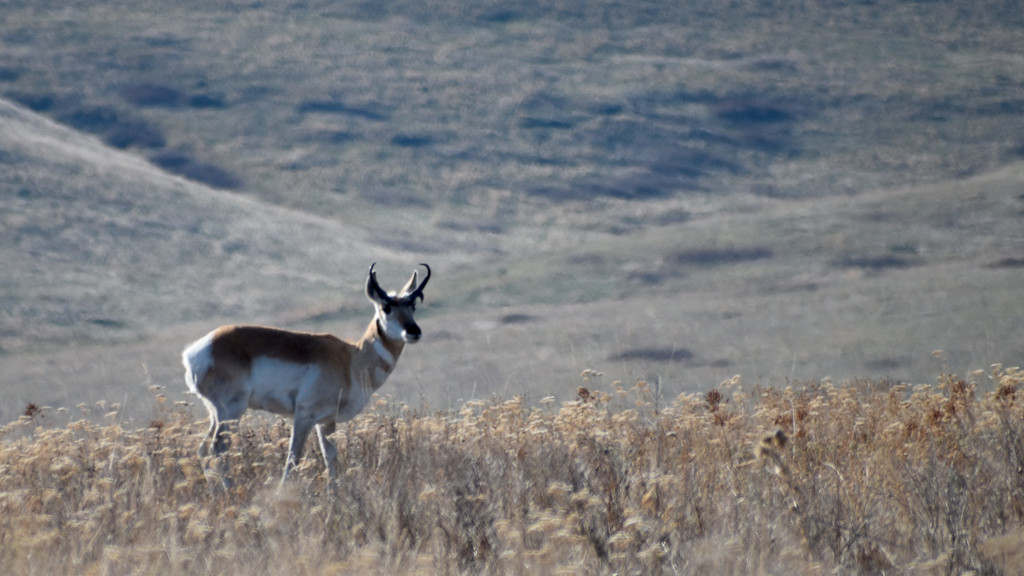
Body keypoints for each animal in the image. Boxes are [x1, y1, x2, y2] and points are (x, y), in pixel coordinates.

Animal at [182, 262, 430, 481]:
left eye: (412, 306)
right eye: (386, 307)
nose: (414, 331)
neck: (352, 359)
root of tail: (198, 350)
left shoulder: (326, 422)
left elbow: (331, 458)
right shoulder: (304, 416)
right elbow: (293, 459)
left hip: (216, 414)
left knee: (203, 450)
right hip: (231, 412)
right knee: (217, 450)